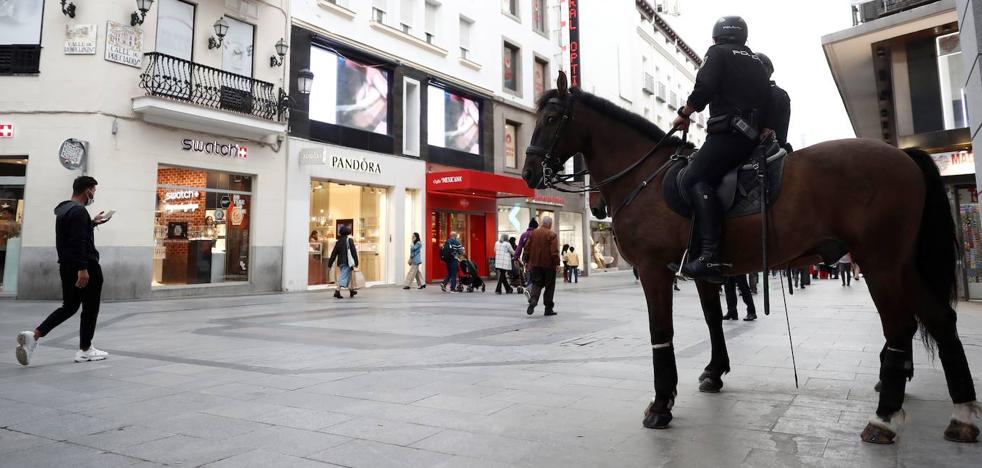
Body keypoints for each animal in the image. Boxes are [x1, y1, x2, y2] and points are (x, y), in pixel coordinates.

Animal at [528, 73, 982, 442]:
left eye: (550, 119)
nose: (530, 173)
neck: (647, 178)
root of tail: (903, 156)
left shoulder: (655, 271)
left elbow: (662, 333)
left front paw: (661, 405)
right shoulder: (703, 271)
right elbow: (714, 321)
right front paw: (714, 372)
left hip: (880, 263)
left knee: (901, 326)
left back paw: (884, 417)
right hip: (902, 264)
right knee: (940, 319)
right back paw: (962, 414)